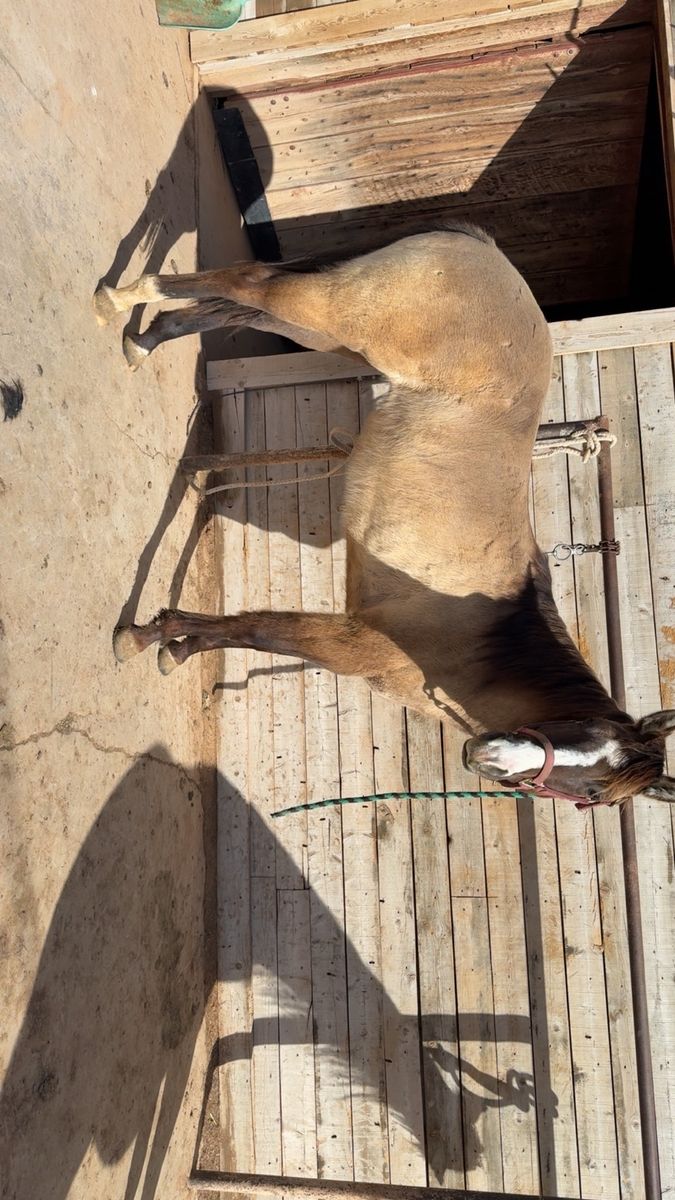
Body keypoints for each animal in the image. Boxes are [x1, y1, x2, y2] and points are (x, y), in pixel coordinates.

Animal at [94, 226, 675, 806]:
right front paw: (144, 637)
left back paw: (143, 338)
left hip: (324, 330)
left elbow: (239, 632)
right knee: (248, 282)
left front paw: (176, 647)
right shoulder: (355, 644)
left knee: (237, 306)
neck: (487, 645)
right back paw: (118, 301)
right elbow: (255, 629)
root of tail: (482, 247)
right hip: (333, 311)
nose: (487, 754)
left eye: (597, 796)